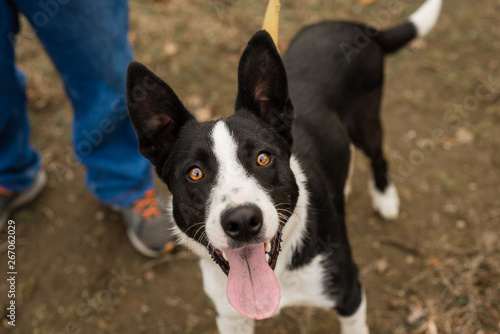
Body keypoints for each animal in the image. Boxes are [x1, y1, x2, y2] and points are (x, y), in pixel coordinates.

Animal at [125, 0, 442, 332]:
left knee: (378, 154)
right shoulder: (230, 317)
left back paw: (384, 196)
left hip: (366, 121)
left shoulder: (349, 293)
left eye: (263, 158)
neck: (278, 271)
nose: (242, 221)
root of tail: (358, 27)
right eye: (195, 173)